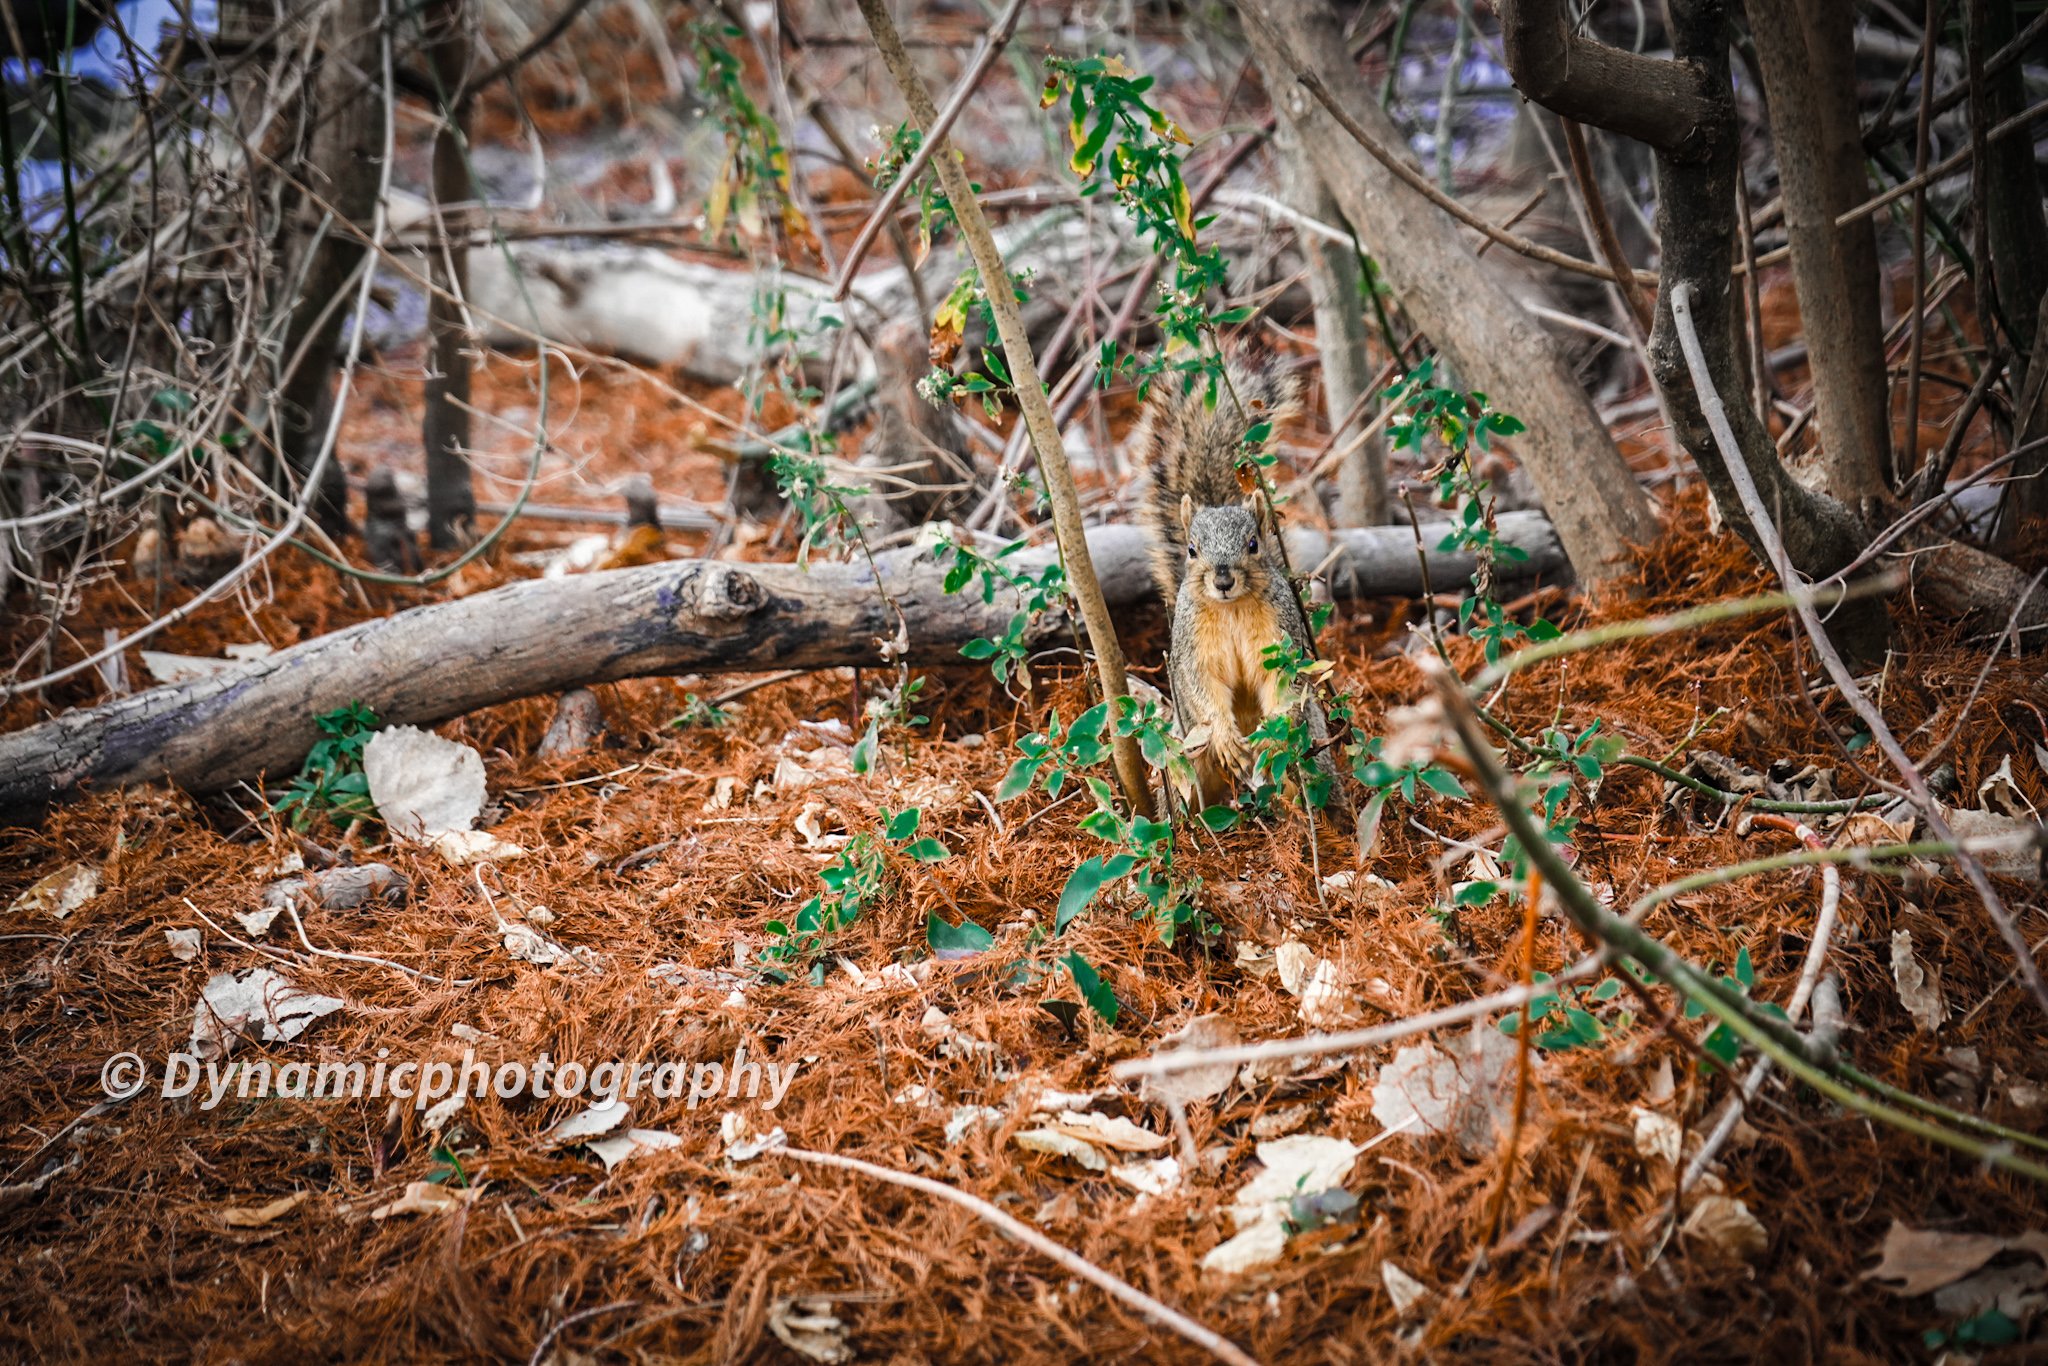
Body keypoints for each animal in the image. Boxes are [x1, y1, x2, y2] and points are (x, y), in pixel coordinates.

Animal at [1134, 352, 1334, 809]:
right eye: (1192, 550)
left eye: (1254, 543)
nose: (1223, 579)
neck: (1232, 610)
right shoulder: (1193, 647)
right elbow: (1201, 687)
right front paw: (1227, 736)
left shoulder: (1280, 636)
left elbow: (1283, 684)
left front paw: (1271, 736)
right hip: (1184, 754)